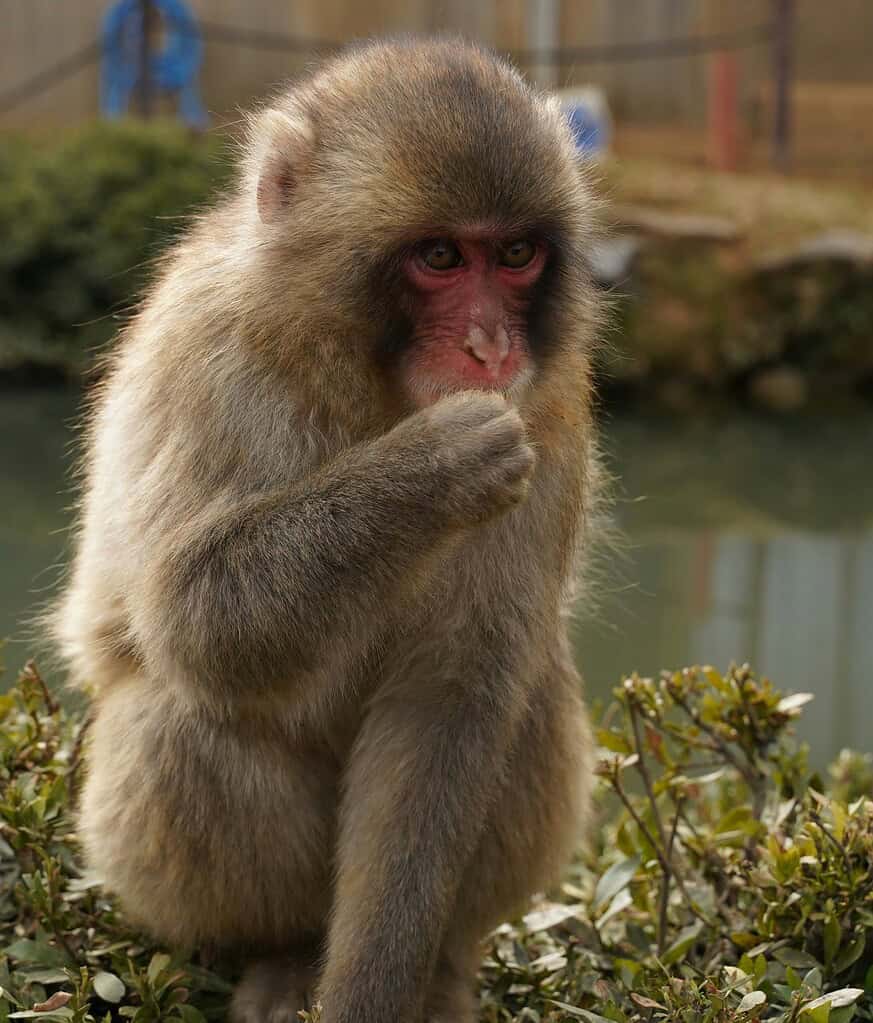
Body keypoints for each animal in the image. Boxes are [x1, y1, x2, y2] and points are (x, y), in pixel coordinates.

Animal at [54, 37, 602, 1023]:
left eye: (514, 253)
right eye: (438, 256)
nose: (491, 346)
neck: (368, 382)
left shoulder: (552, 411)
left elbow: (449, 695)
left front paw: (375, 990)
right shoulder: (208, 358)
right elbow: (194, 616)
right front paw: (430, 469)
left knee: (528, 692)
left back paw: (442, 965)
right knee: (177, 722)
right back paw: (277, 954)